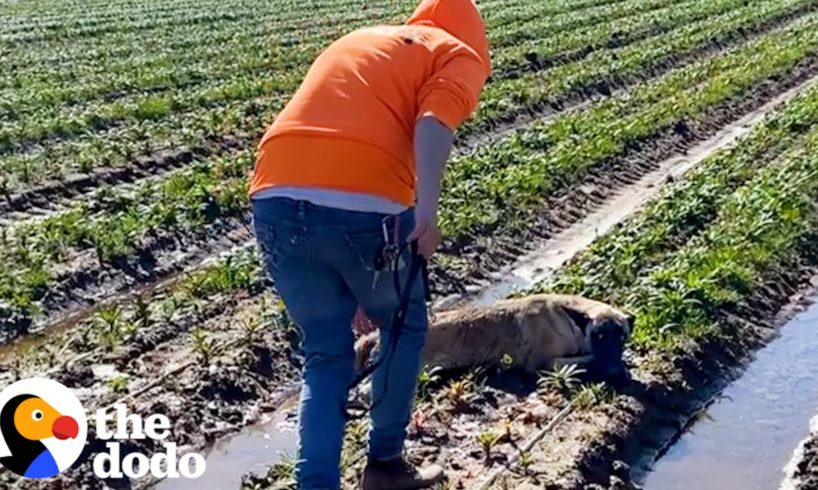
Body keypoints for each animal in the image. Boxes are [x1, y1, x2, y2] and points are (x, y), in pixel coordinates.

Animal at [354, 294, 636, 386]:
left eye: (620, 337)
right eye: (599, 337)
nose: (614, 371)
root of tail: (378, 333)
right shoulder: (544, 362)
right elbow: (586, 360)